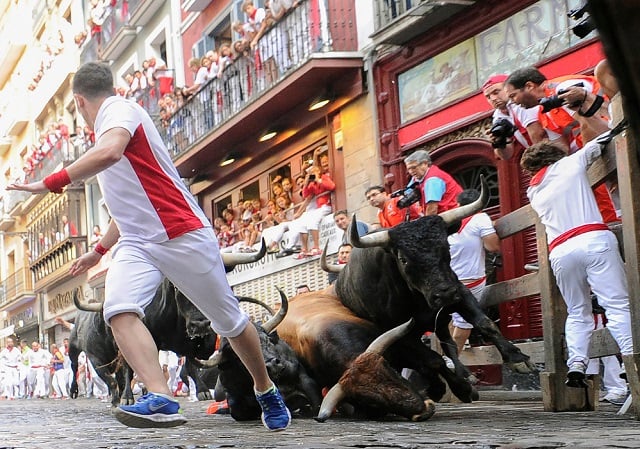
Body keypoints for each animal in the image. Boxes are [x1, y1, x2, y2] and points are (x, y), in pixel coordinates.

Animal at [336, 176, 536, 402]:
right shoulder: (399, 332)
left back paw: (461, 375)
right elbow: (433, 360)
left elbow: (485, 323)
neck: (418, 297)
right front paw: (462, 389)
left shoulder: (460, 293)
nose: (444, 294)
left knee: (448, 344)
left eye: (446, 247)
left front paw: (517, 357)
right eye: (403, 259)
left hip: (440, 321)